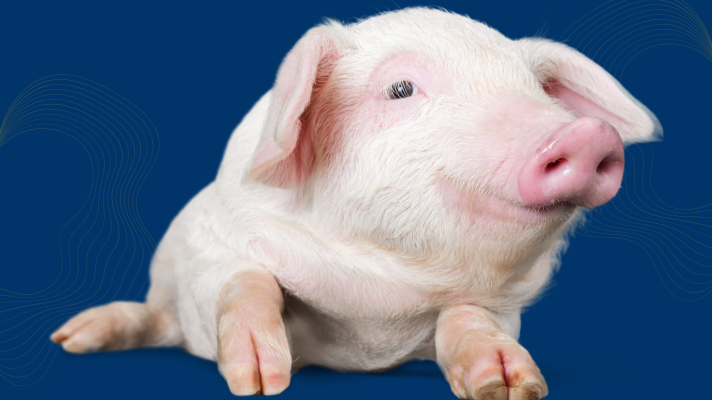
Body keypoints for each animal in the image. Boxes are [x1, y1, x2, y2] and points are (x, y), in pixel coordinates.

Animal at [49, 7, 660, 400]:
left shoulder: (496, 307)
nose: (587, 134)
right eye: (400, 89)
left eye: (535, 90)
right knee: (157, 318)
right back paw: (73, 338)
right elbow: (244, 280)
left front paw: (508, 385)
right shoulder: (214, 246)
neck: (371, 318)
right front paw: (261, 379)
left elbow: (469, 317)